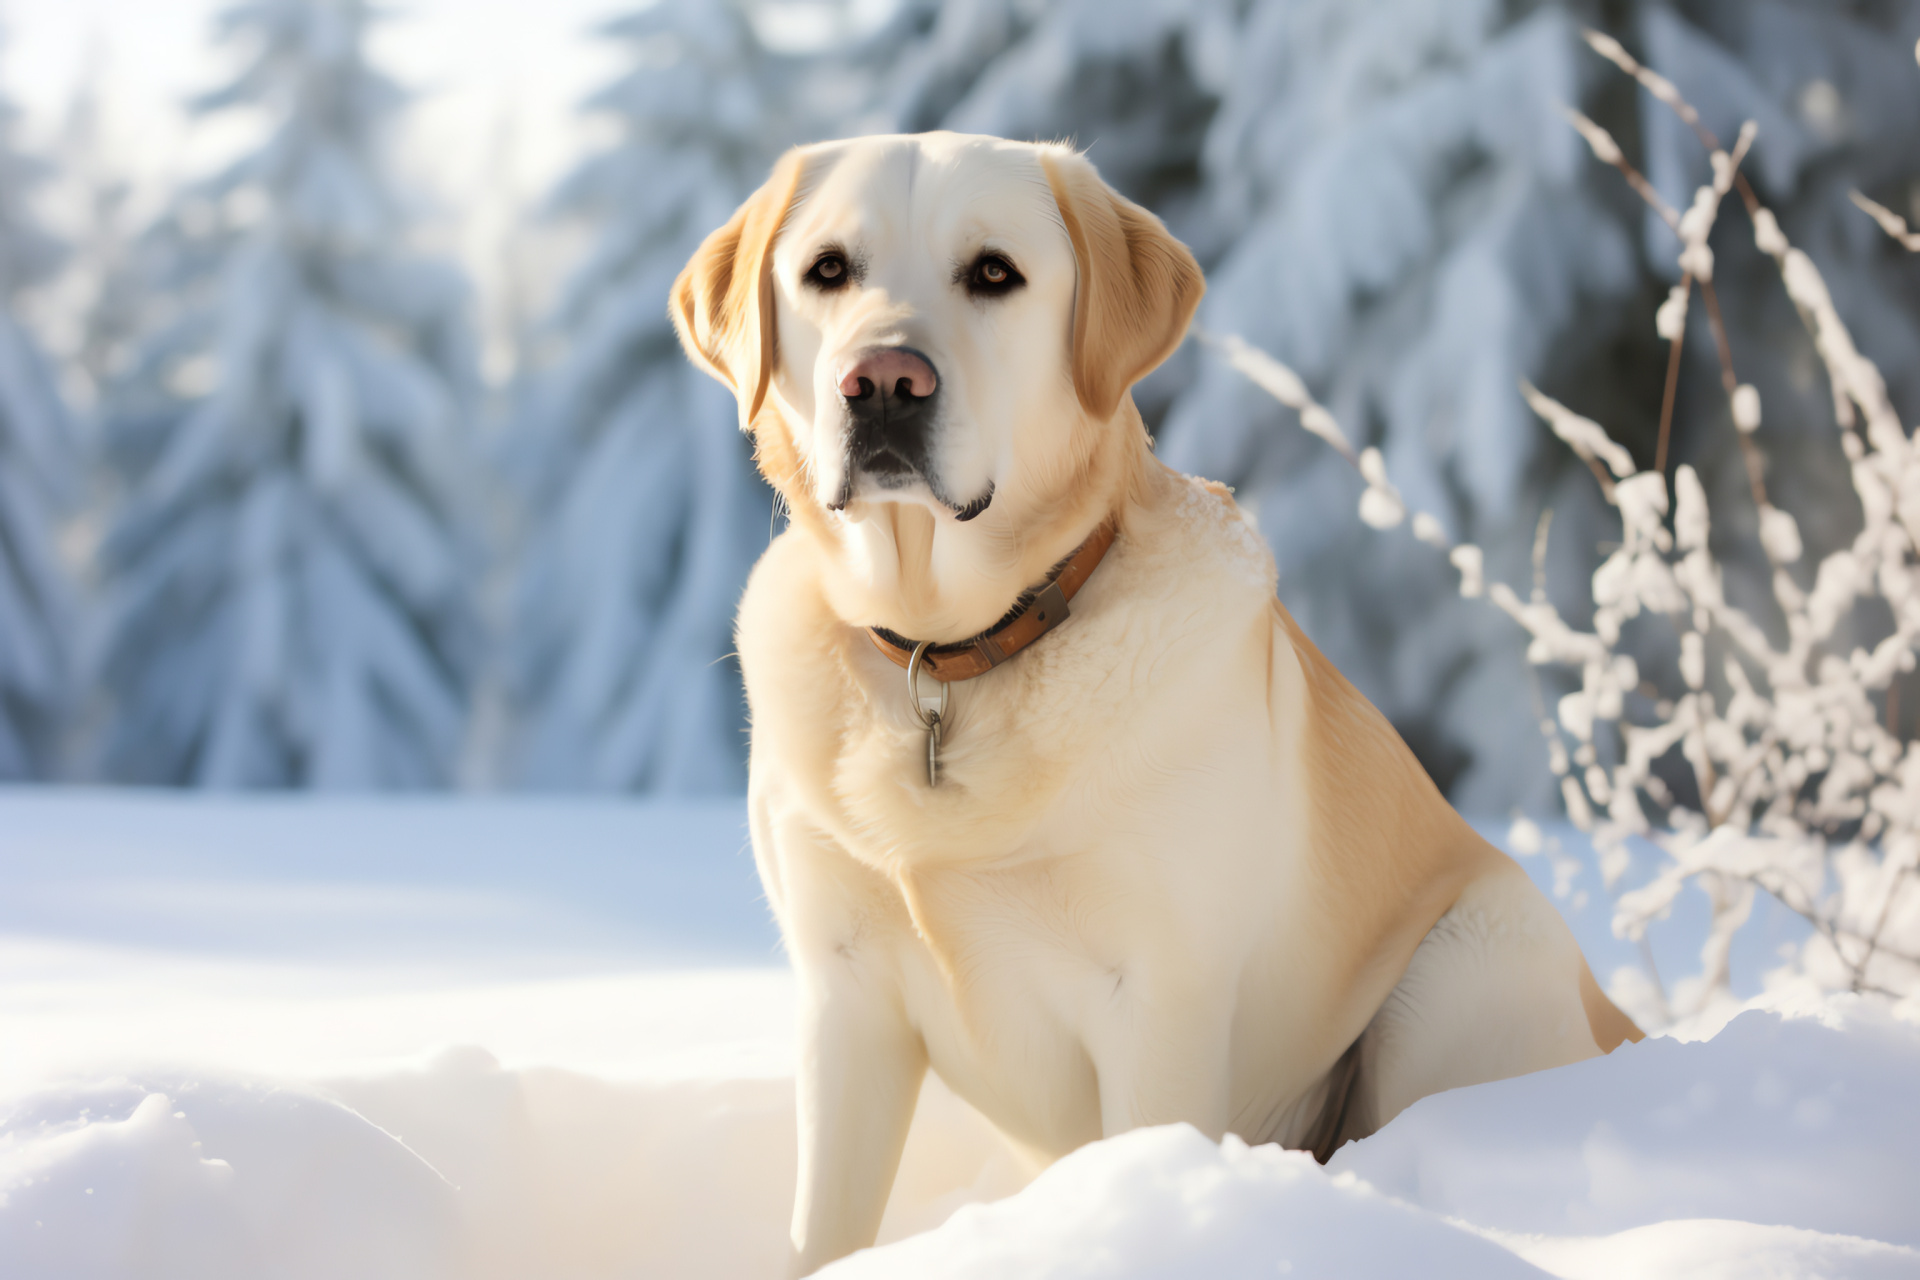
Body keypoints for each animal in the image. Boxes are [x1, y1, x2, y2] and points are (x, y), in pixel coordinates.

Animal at [675, 135, 1635, 1274]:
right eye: (827, 270)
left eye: (994, 273)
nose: (883, 383)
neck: (950, 660)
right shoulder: (844, 998)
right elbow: (823, 1231)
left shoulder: (1160, 1001)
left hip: (1469, 963)